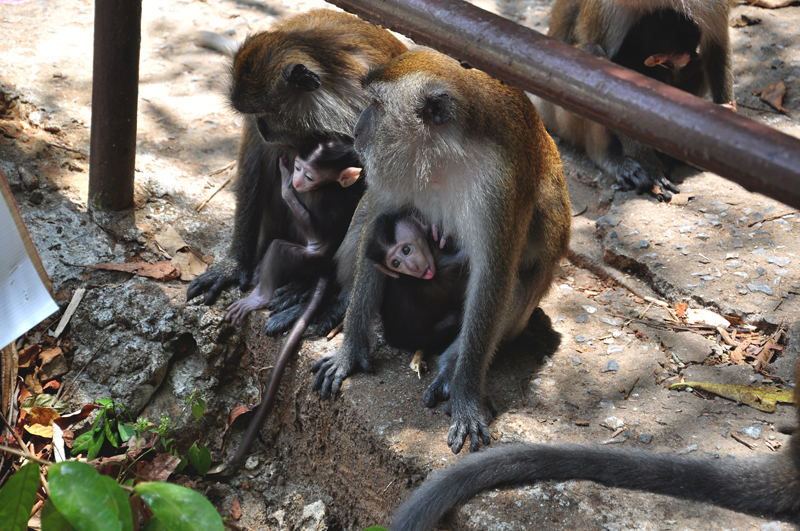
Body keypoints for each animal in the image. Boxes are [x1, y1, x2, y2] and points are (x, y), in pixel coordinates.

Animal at [225, 134, 362, 328]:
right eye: (297, 167)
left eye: (310, 177)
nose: (296, 181)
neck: (331, 186)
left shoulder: (319, 196)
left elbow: (315, 231)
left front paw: (286, 185)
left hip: (311, 262)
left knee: (279, 249)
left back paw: (260, 298)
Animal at [310, 50, 572, 456]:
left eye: (376, 105)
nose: (357, 127)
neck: (442, 157)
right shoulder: (393, 170)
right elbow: (377, 228)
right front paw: (349, 351)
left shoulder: (498, 189)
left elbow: (492, 280)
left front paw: (465, 395)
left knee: (529, 266)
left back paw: (451, 363)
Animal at [536, 0, 736, 202]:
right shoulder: (606, 7)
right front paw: (649, 166)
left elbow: (715, 47)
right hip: (558, 115)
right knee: (592, 52)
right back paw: (607, 155)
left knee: (701, 63)